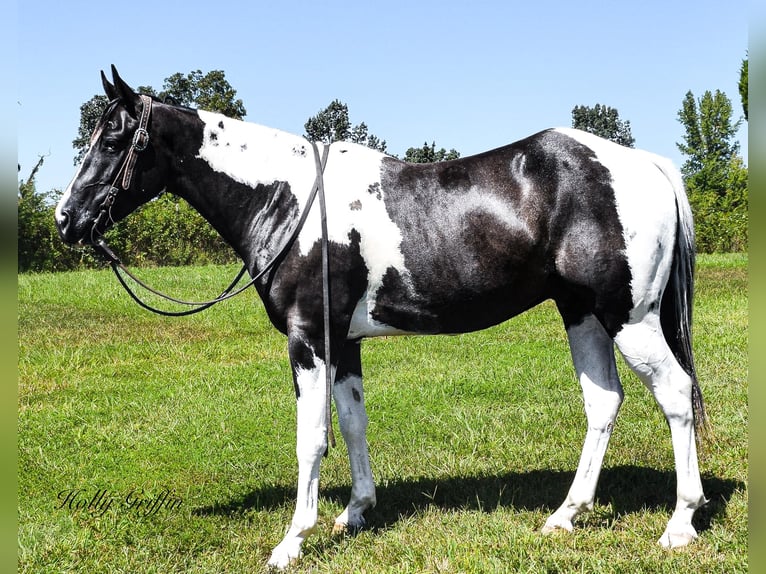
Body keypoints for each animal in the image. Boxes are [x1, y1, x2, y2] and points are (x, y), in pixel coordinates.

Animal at [57, 68, 712, 572]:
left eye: (113, 140)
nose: (66, 219)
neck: (286, 199)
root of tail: (649, 165)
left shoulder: (309, 340)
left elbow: (312, 438)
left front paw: (292, 542)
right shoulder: (344, 343)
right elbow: (351, 425)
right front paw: (355, 512)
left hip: (630, 318)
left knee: (675, 394)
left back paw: (680, 524)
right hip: (581, 313)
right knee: (603, 402)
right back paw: (564, 517)